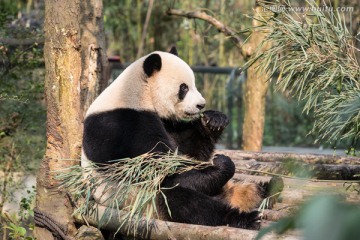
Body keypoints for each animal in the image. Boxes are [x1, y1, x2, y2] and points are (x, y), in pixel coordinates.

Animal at [81, 47, 282, 231]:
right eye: (184, 88)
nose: (201, 104)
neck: (138, 93)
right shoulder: (123, 125)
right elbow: (162, 168)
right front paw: (222, 164)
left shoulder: (167, 123)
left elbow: (188, 149)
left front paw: (214, 120)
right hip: (143, 202)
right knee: (181, 199)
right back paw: (244, 218)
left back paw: (268, 189)